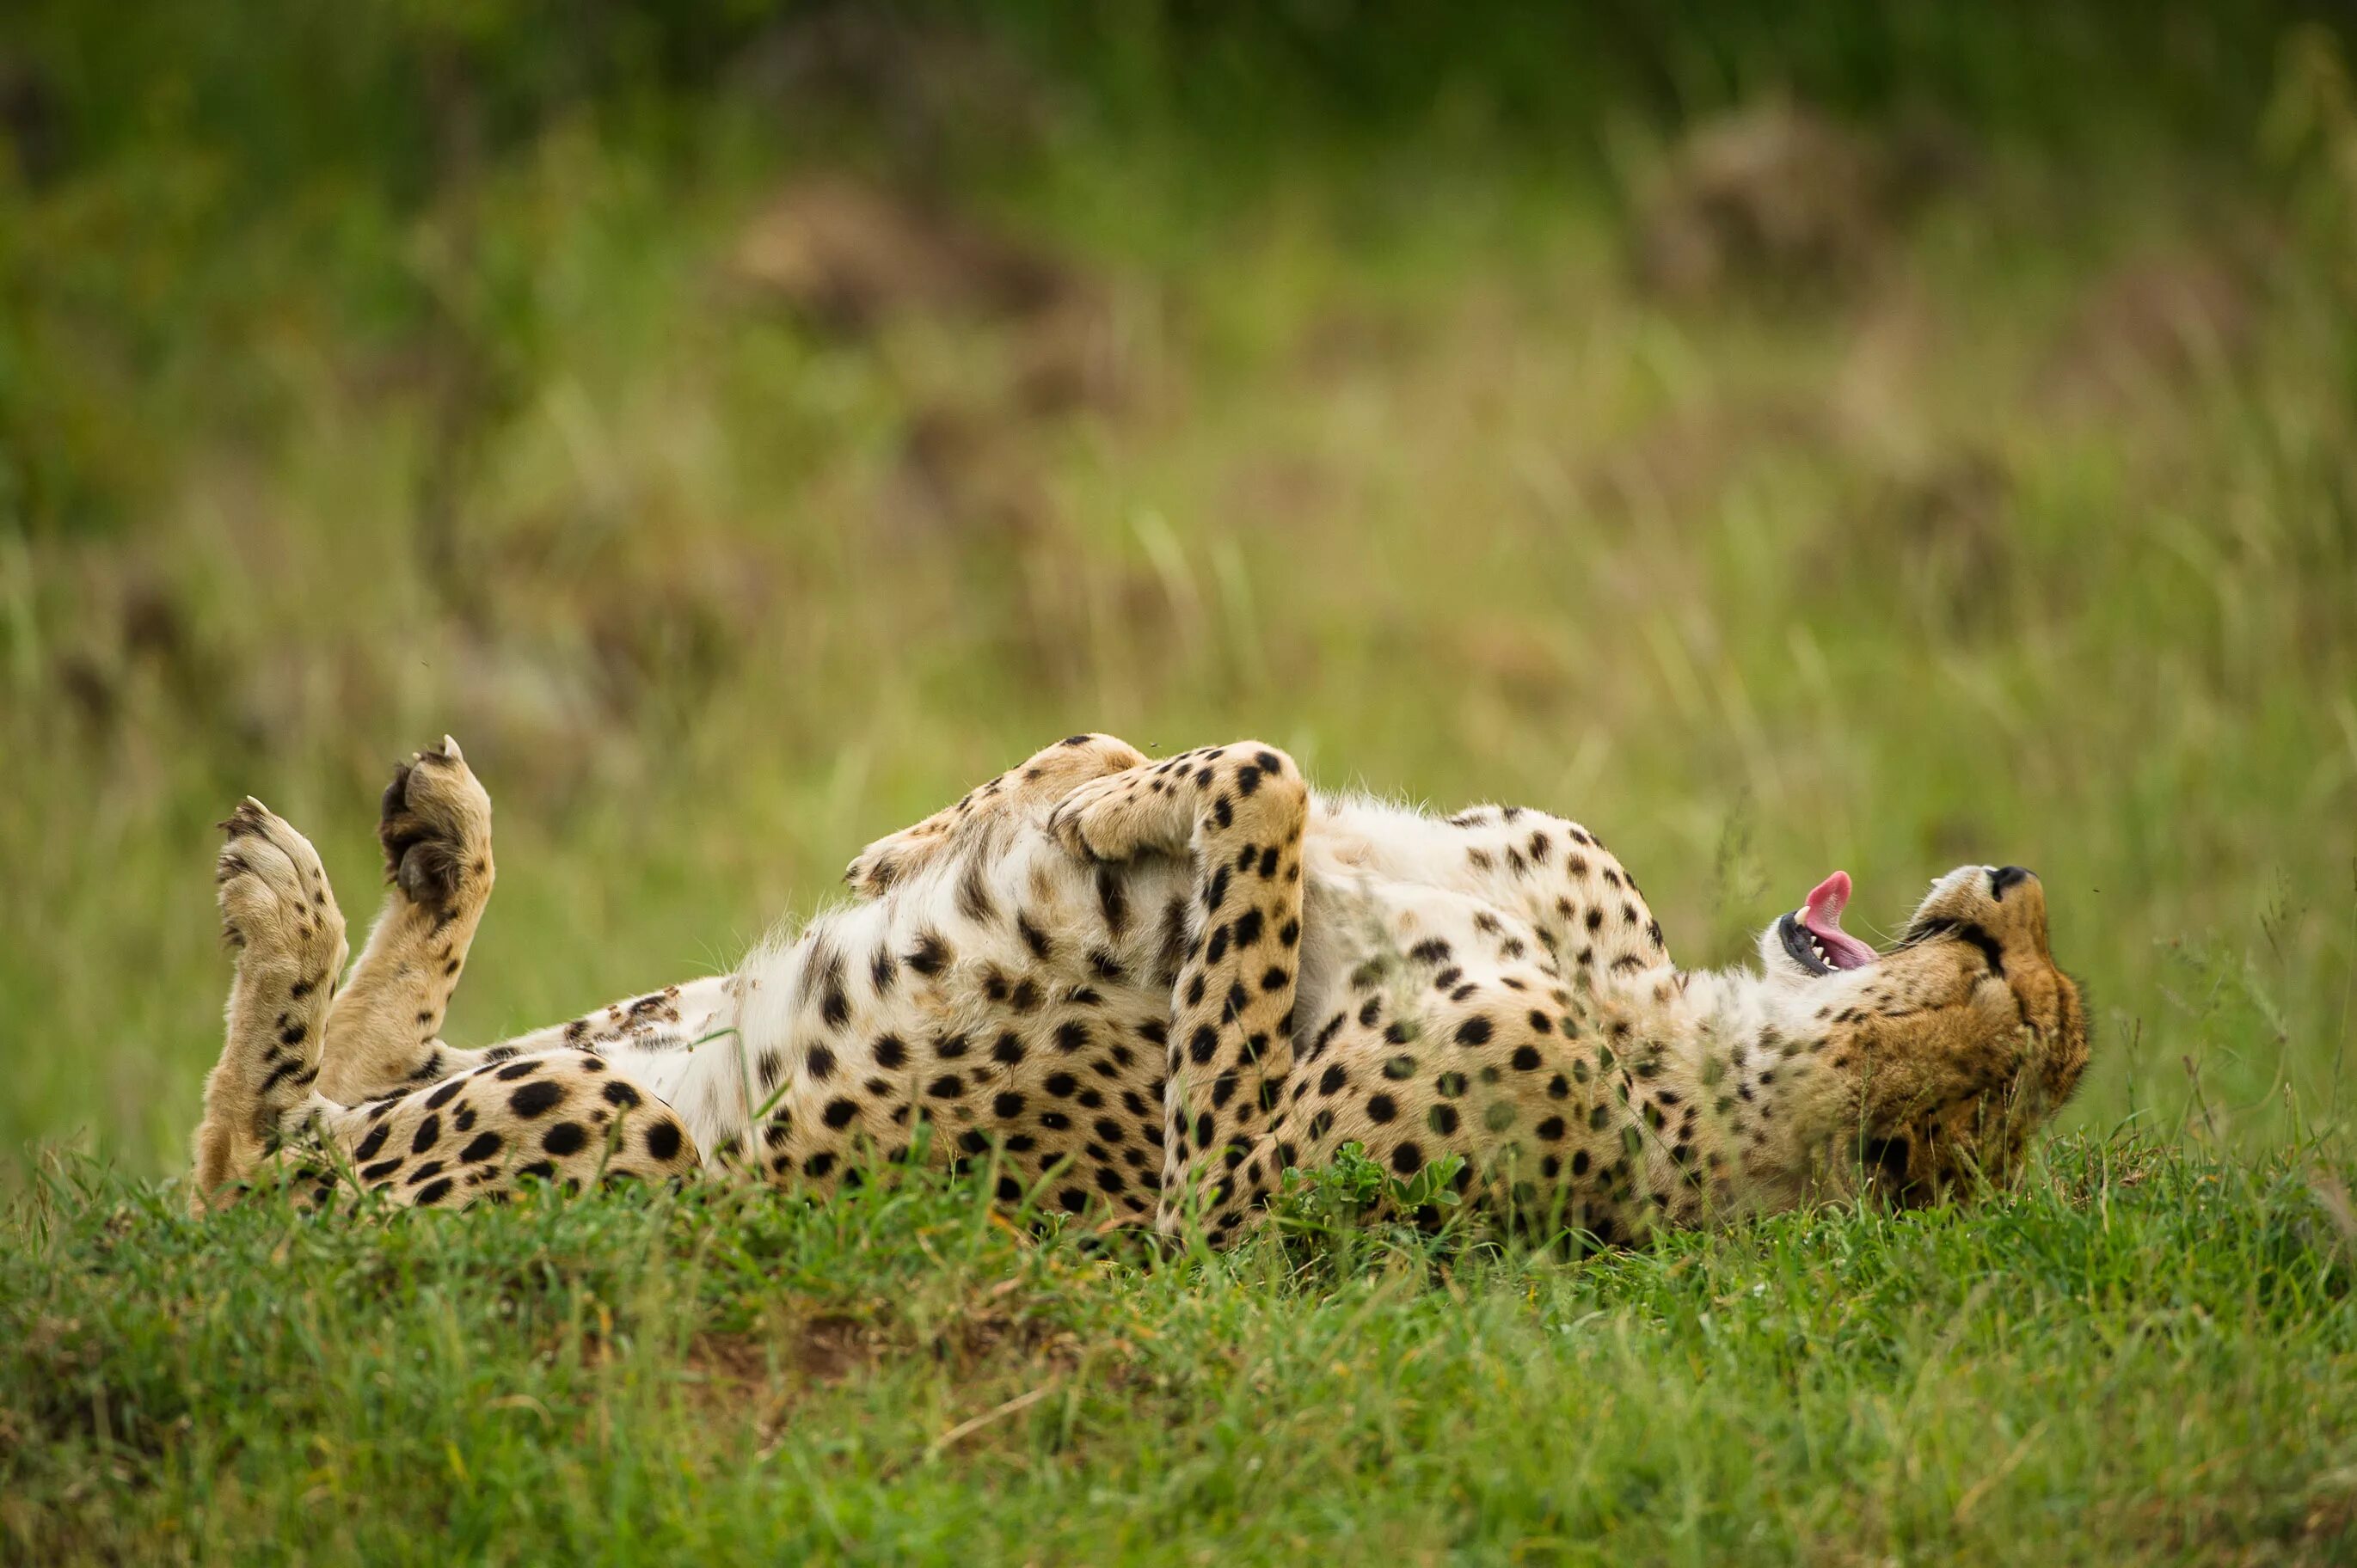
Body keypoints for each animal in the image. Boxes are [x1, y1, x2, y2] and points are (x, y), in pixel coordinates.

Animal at [193, 735, 2093, 1245]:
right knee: (335, 1093)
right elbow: (1133, 750)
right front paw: (950, 837)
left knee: (260, 1172)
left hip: (633, 1145)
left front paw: (1107, 825)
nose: (2012, 880)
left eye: (2026, 1010)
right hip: (627, 1032)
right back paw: (425, 845)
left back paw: (289, 909)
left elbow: (1258, 778)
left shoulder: (1219, 1211)